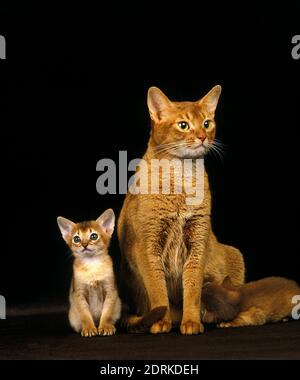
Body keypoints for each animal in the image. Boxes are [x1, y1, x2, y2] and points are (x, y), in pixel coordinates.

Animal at [118, 86, 245, 336]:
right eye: (183, 125)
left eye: (207, 123)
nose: (202, 136)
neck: (181, 179)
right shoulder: (147, 246)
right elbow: (157, 289)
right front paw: (160, 322)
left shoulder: (199, 240)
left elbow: (193, 286)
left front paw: (192, 322)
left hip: (235, 255)